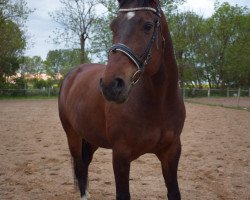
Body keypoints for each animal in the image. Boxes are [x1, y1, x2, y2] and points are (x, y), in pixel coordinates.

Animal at [57, 0, 185, 199]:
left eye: (148, 26)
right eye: (113, 26)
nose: (110, 85)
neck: (159, 104)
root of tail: (72, 74)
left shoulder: (171, 152)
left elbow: (174, 192)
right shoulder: (120, 155)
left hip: (91, 138)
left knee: (85, 164)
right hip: (73, 135)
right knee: (79, 166)